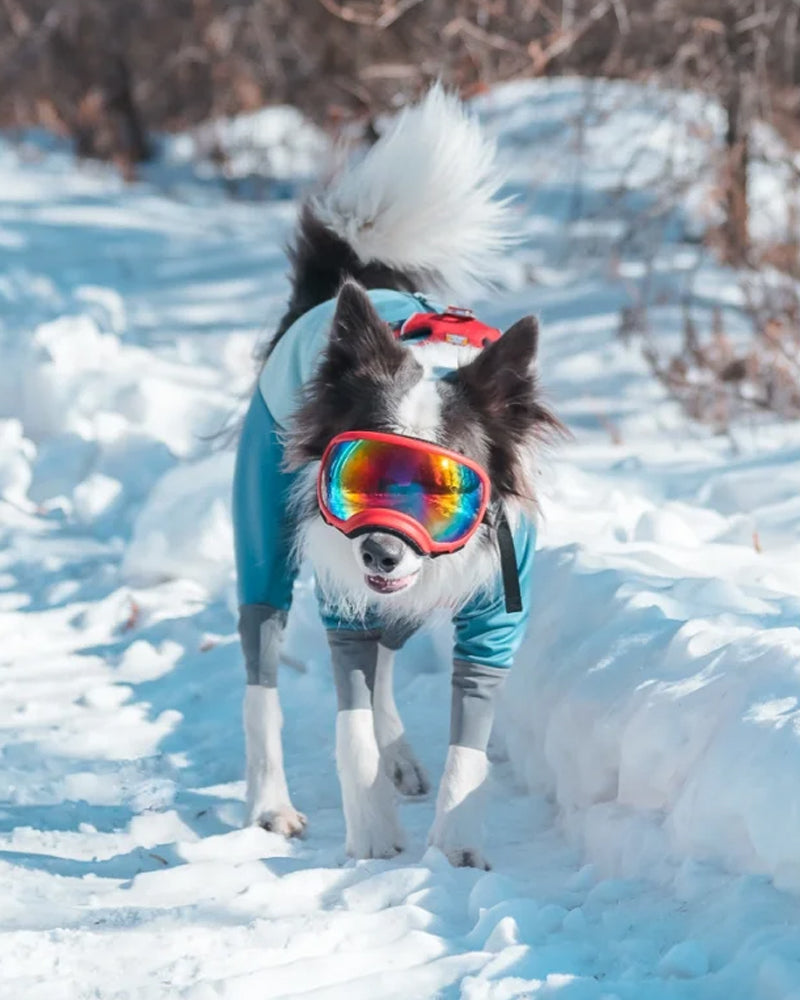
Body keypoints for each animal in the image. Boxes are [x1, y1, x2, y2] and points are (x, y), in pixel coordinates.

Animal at [233, 86, 564, 868]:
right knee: (261, 664)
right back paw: (271, 803)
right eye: (363, 473)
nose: (380, 551)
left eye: (447, 488)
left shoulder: (494, 613)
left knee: (387, 656)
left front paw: (456, 852)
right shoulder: (342, 596)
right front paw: (375, 839)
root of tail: (328, 296)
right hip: (266, 532)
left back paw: (402, 755)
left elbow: (468, 750)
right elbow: (348, 727)